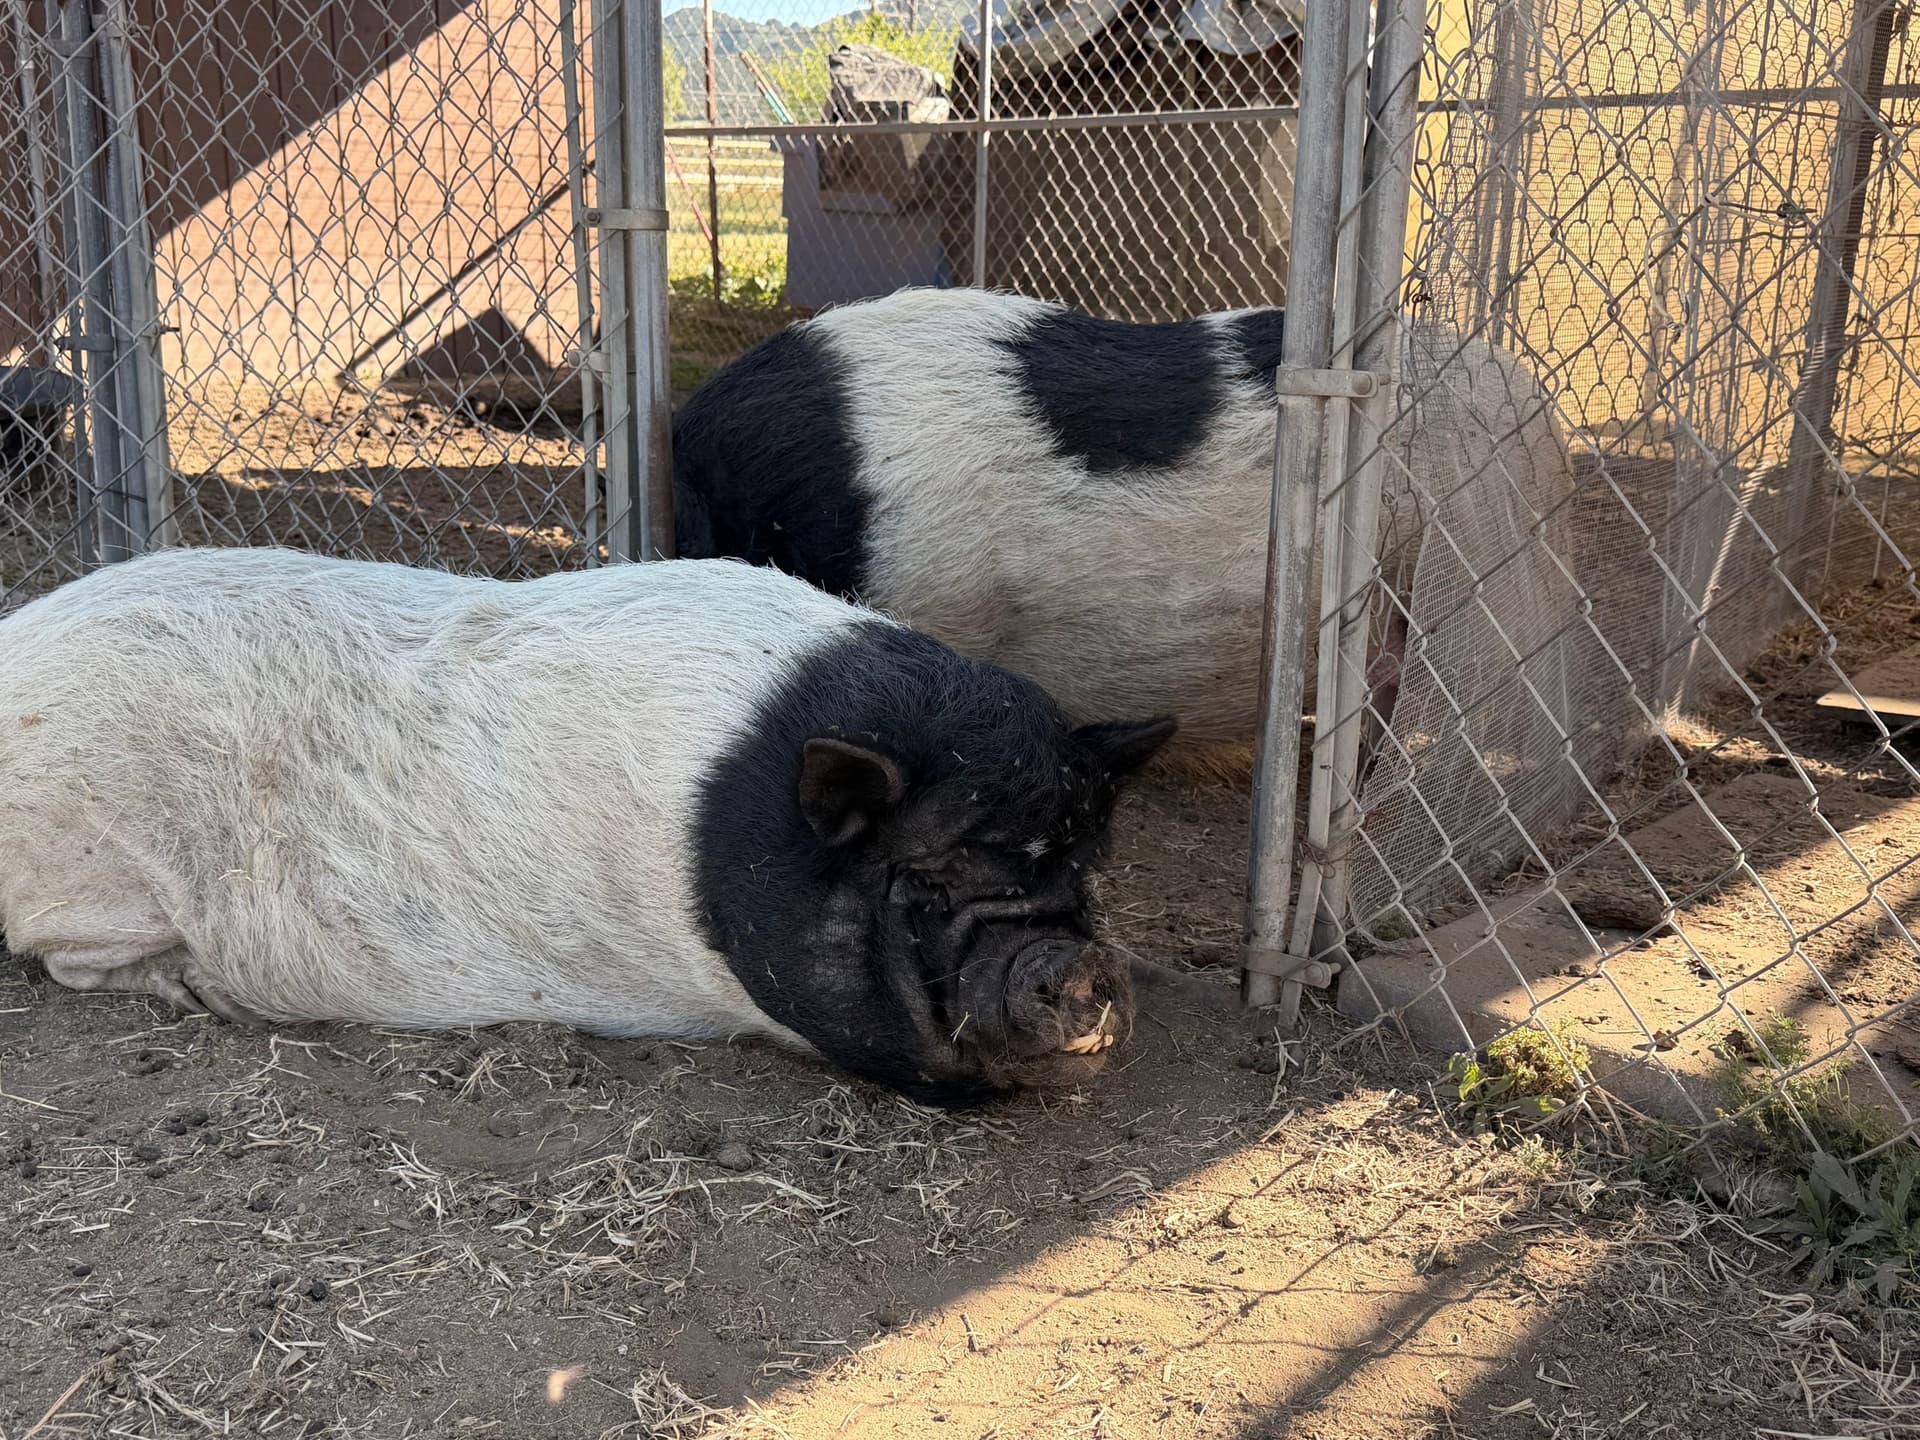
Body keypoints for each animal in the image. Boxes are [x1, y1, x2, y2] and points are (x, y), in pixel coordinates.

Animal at [0, 546, 1175, 1106]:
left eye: (1086, 868)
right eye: (928, 880)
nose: (1077, 969)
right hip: (90, 871)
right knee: (67, 961)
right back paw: (206, 995)